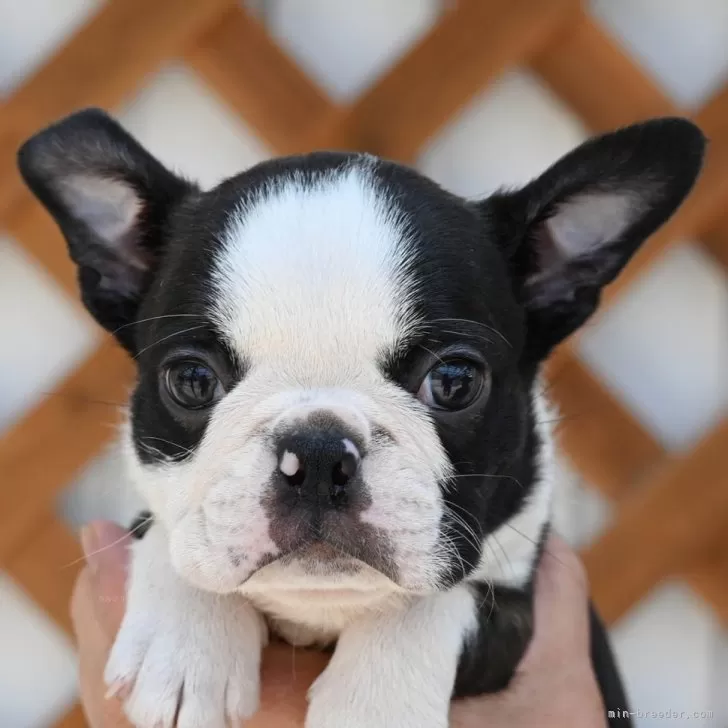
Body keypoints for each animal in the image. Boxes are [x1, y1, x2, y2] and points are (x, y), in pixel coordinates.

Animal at [18, 109, 704, 728]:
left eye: (455, 382)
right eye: (191, 381)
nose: (319, 453)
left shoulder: (521, 597)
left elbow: (441, 599)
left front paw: (377, 704)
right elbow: (172, 537)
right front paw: (184, 642)